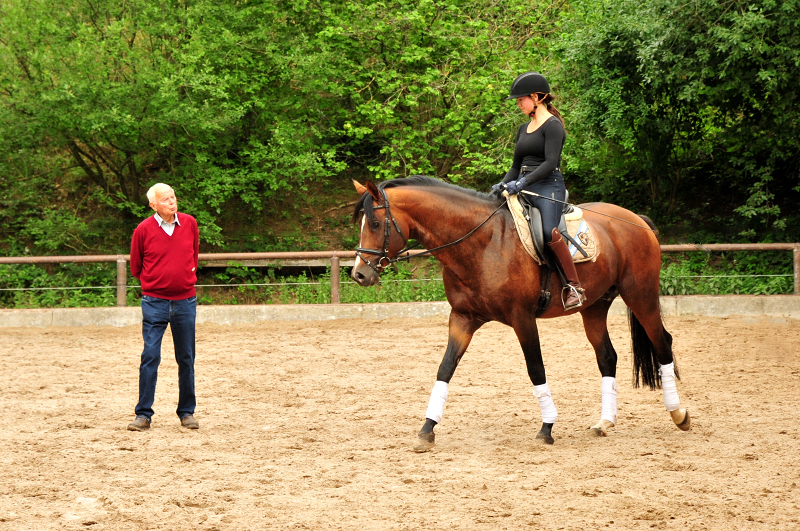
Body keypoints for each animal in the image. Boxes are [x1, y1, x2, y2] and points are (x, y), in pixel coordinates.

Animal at [350, 177, 688, 450]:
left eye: (376, 224)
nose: (359, 275)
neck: (481, 242)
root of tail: (635, 219)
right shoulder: (462, 318)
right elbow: (444, 370)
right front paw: (427, 429)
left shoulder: (522, 318)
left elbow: (535, 369)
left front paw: (547, 428)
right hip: (594, 307)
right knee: (607, 356)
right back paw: (605, 422)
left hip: (640, 296)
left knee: (663, 343)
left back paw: (679, 414)